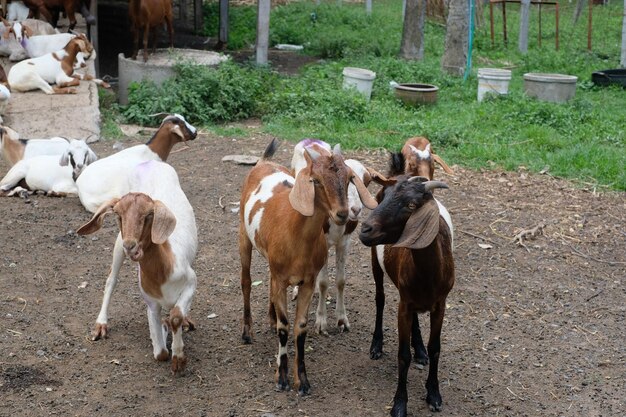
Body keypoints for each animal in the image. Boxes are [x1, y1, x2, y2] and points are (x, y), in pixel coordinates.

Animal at [76, 159, 196, 374]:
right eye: (117, 214)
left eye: (149, 214)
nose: (131, 246)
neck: (163, 271)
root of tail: (149, 162)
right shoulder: (151, 303)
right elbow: (160, 353)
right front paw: (166, 335)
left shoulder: (191, 281)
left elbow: (176, 315)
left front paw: (179, 357)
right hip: (117, 244)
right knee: (111, 280)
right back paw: (100, 325)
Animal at [239, 137, 376, 394]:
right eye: (316, 180)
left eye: (349, 179)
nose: (343, 213)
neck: (295, 233)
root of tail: (263, 162)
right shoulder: (282, 278)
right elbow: (285, 326)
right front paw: (281, 378)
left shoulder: (307, 282)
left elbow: (300, 327)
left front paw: (302, 381)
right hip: (243, 236)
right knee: (246, 282)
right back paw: (246, 332)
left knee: (268, 284)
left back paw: (270, 320)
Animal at [292, 138, 388, 334]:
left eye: (365, 180)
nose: (355, 209)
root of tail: (310, 141)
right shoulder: (322, 243)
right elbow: (323, 282)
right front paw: (321, 321)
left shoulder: (344, 242)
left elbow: (341, 280)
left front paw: (342, 319)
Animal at [356, 176, 454, 416]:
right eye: (385, 198)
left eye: (411, 205)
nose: (365, 229)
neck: (429, 275)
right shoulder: (404, 306)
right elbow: (403, 355)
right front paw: (399, 404)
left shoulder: (440, 305)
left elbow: (435, 349)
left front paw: (434, 394)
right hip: (376, 261)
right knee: (380, 299)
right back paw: (376, 345)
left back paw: (419, 349)